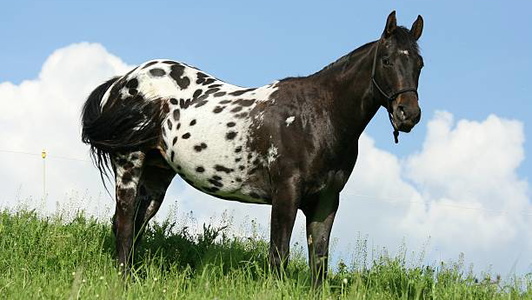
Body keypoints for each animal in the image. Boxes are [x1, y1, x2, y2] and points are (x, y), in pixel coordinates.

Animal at [80, 10, 424, 284]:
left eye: (419, 63)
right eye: (387, 60)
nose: (408, 114)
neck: (316, 116)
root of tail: (122, 81)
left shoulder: (326, 201)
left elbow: (319, 261)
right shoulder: (286, 193)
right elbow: (278, 254)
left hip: (157, 176)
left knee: (135, 225)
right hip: (130, 164)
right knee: (125, 224)